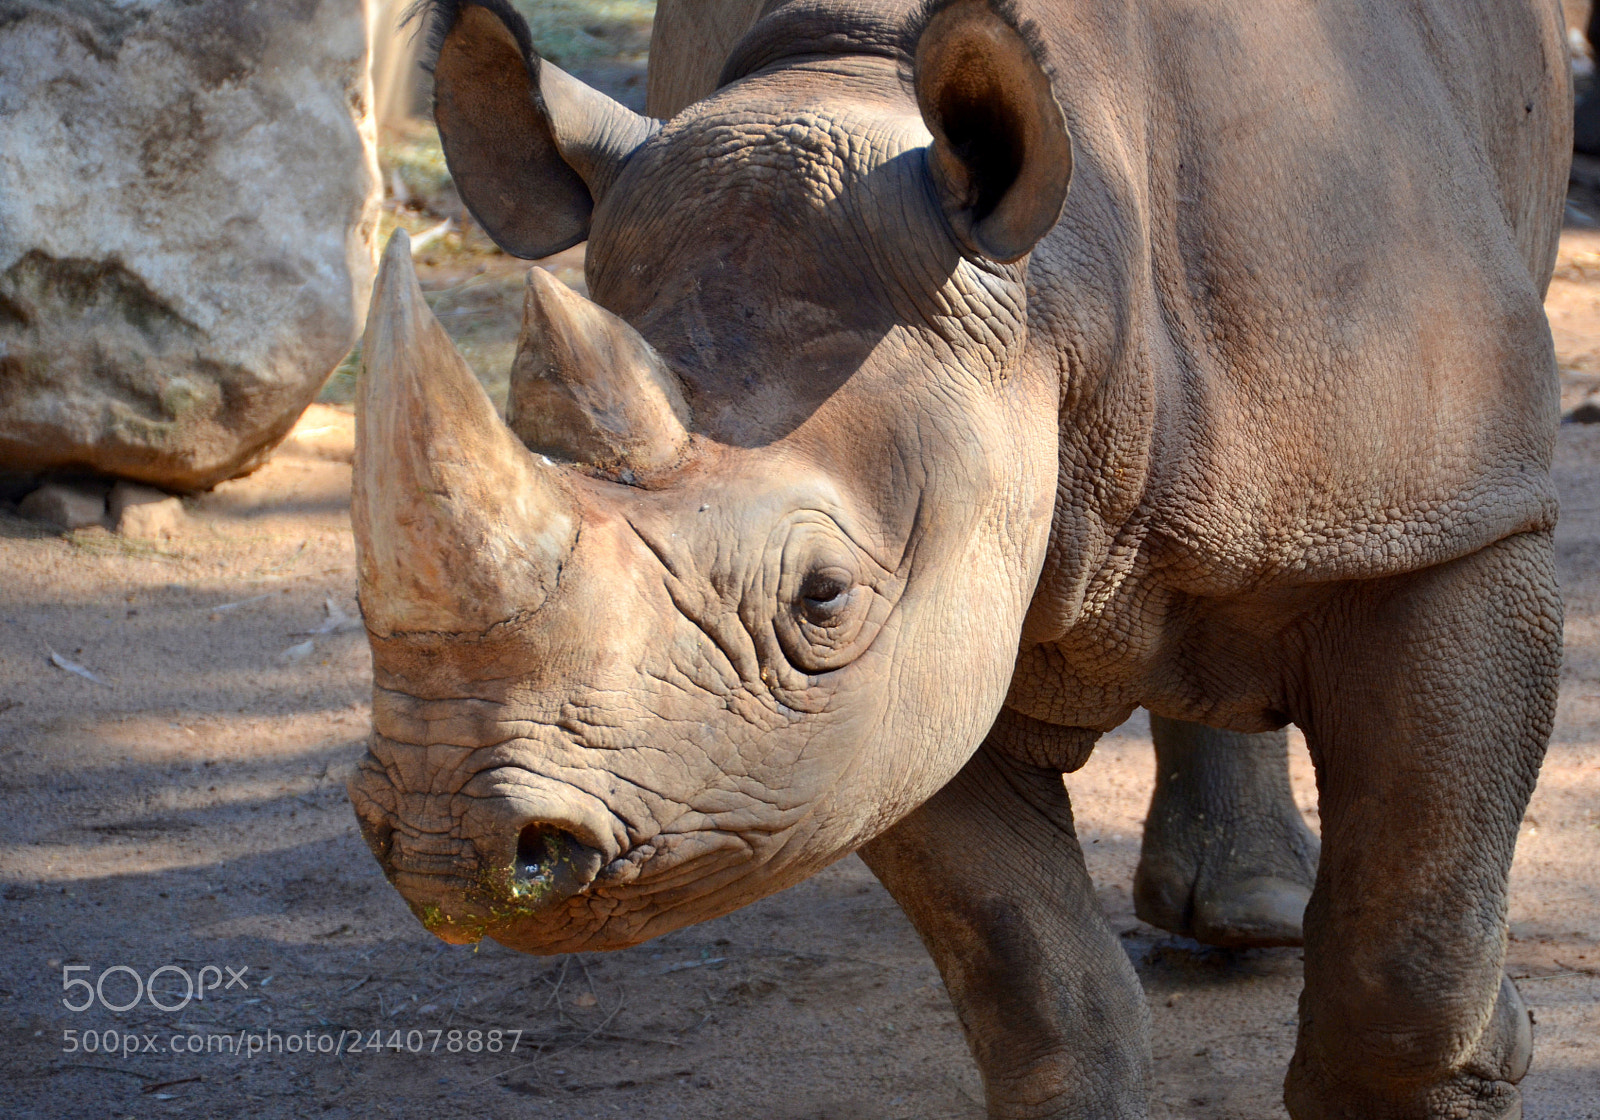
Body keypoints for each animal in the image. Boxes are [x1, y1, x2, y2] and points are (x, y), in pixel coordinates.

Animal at [347, 1, 1569, 1116]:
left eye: (823, 597)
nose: (454, 846)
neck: (1059, 293)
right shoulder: (890, 684)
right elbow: (1037, 986)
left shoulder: (1451, 515)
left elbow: (1405, 948)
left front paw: (1486, 1053)